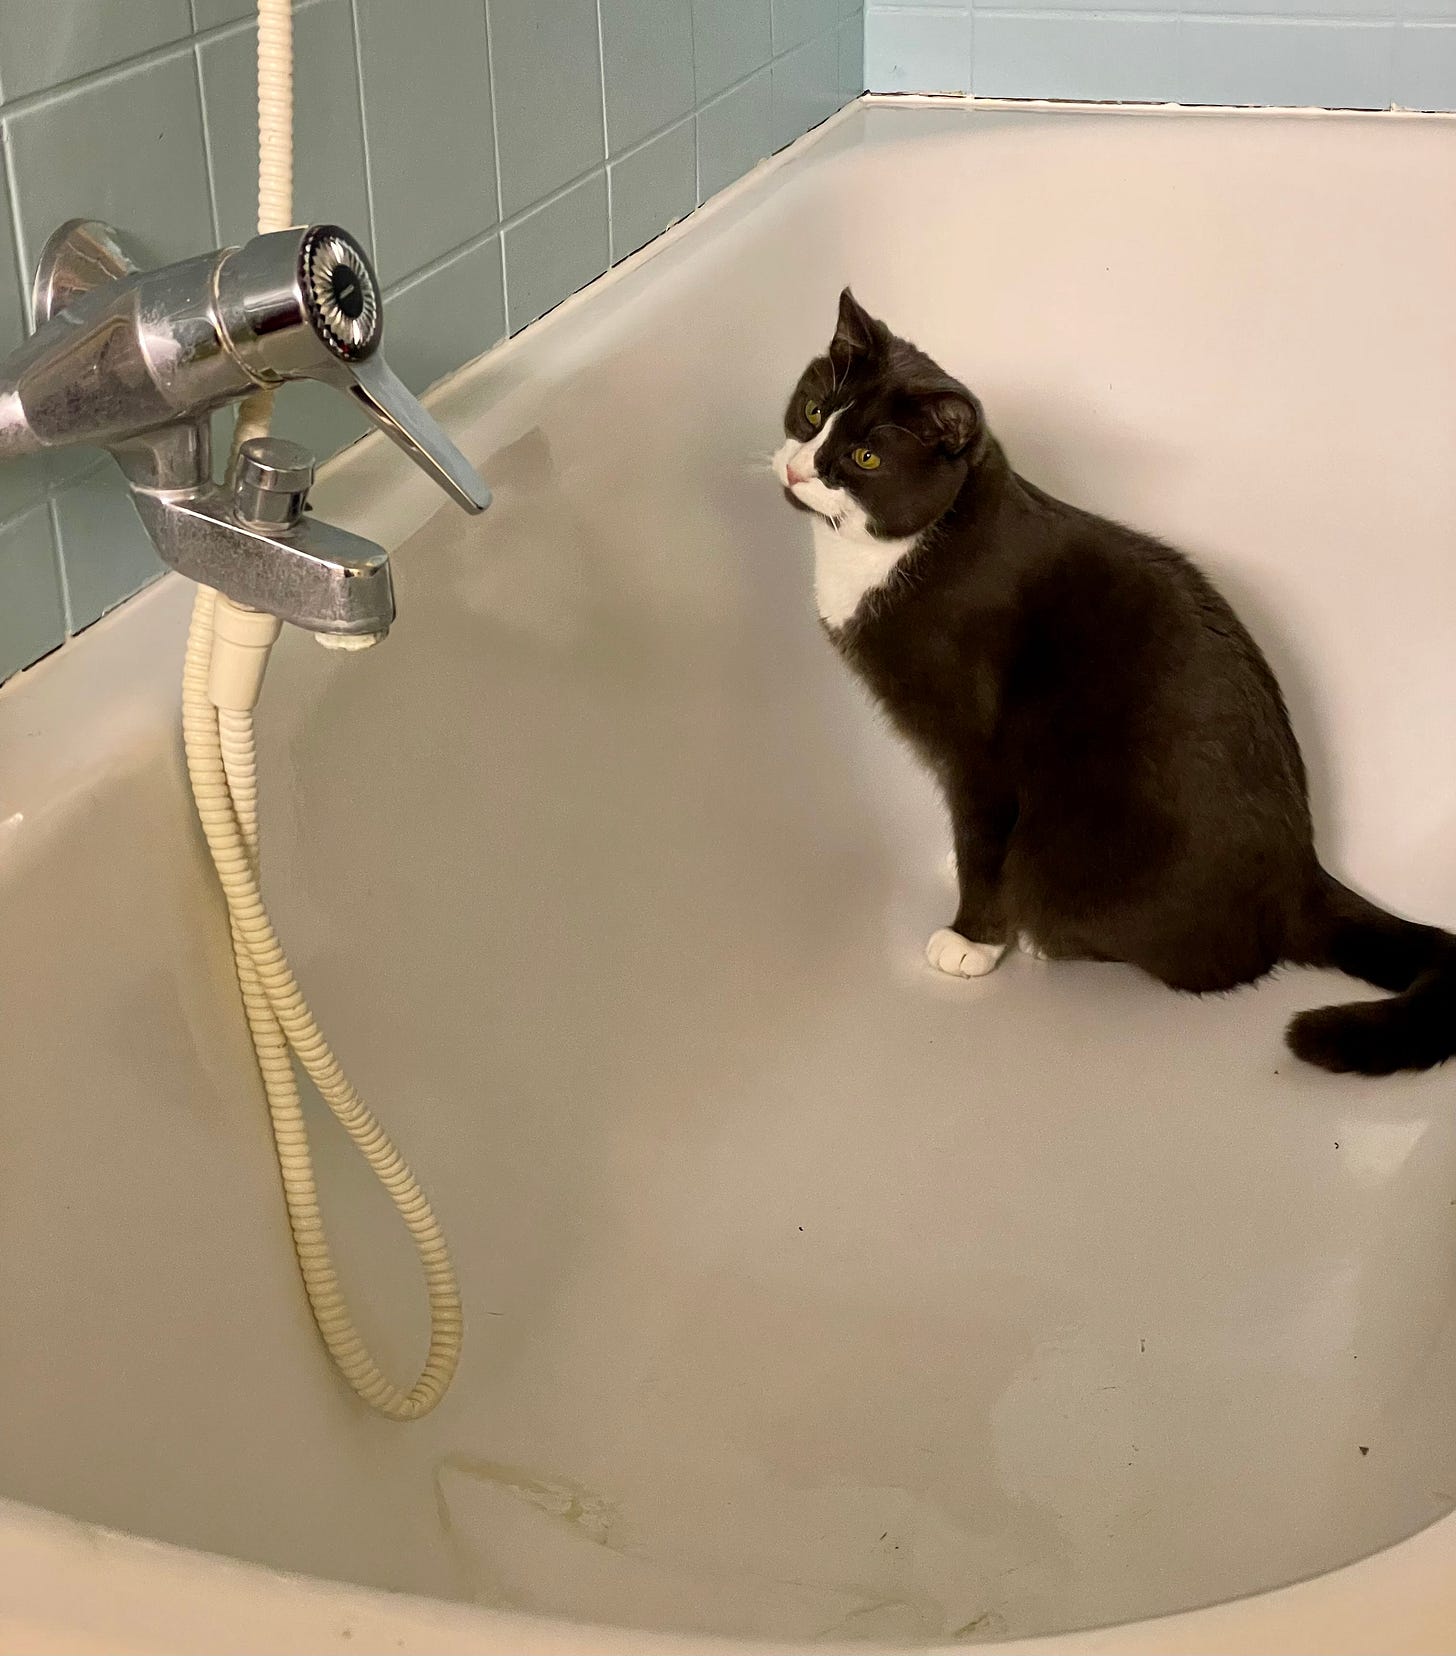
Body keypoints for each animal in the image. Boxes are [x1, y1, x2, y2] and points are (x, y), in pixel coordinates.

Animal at [775, 289, 1456, 1079]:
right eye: (813, 410)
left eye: (865, 457)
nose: (799, 470)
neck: (893, 555)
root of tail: (1302, 877)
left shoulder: (979, 753)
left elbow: (982, 838)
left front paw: (974, 939)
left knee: (1210, 965)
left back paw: (1045, 937)